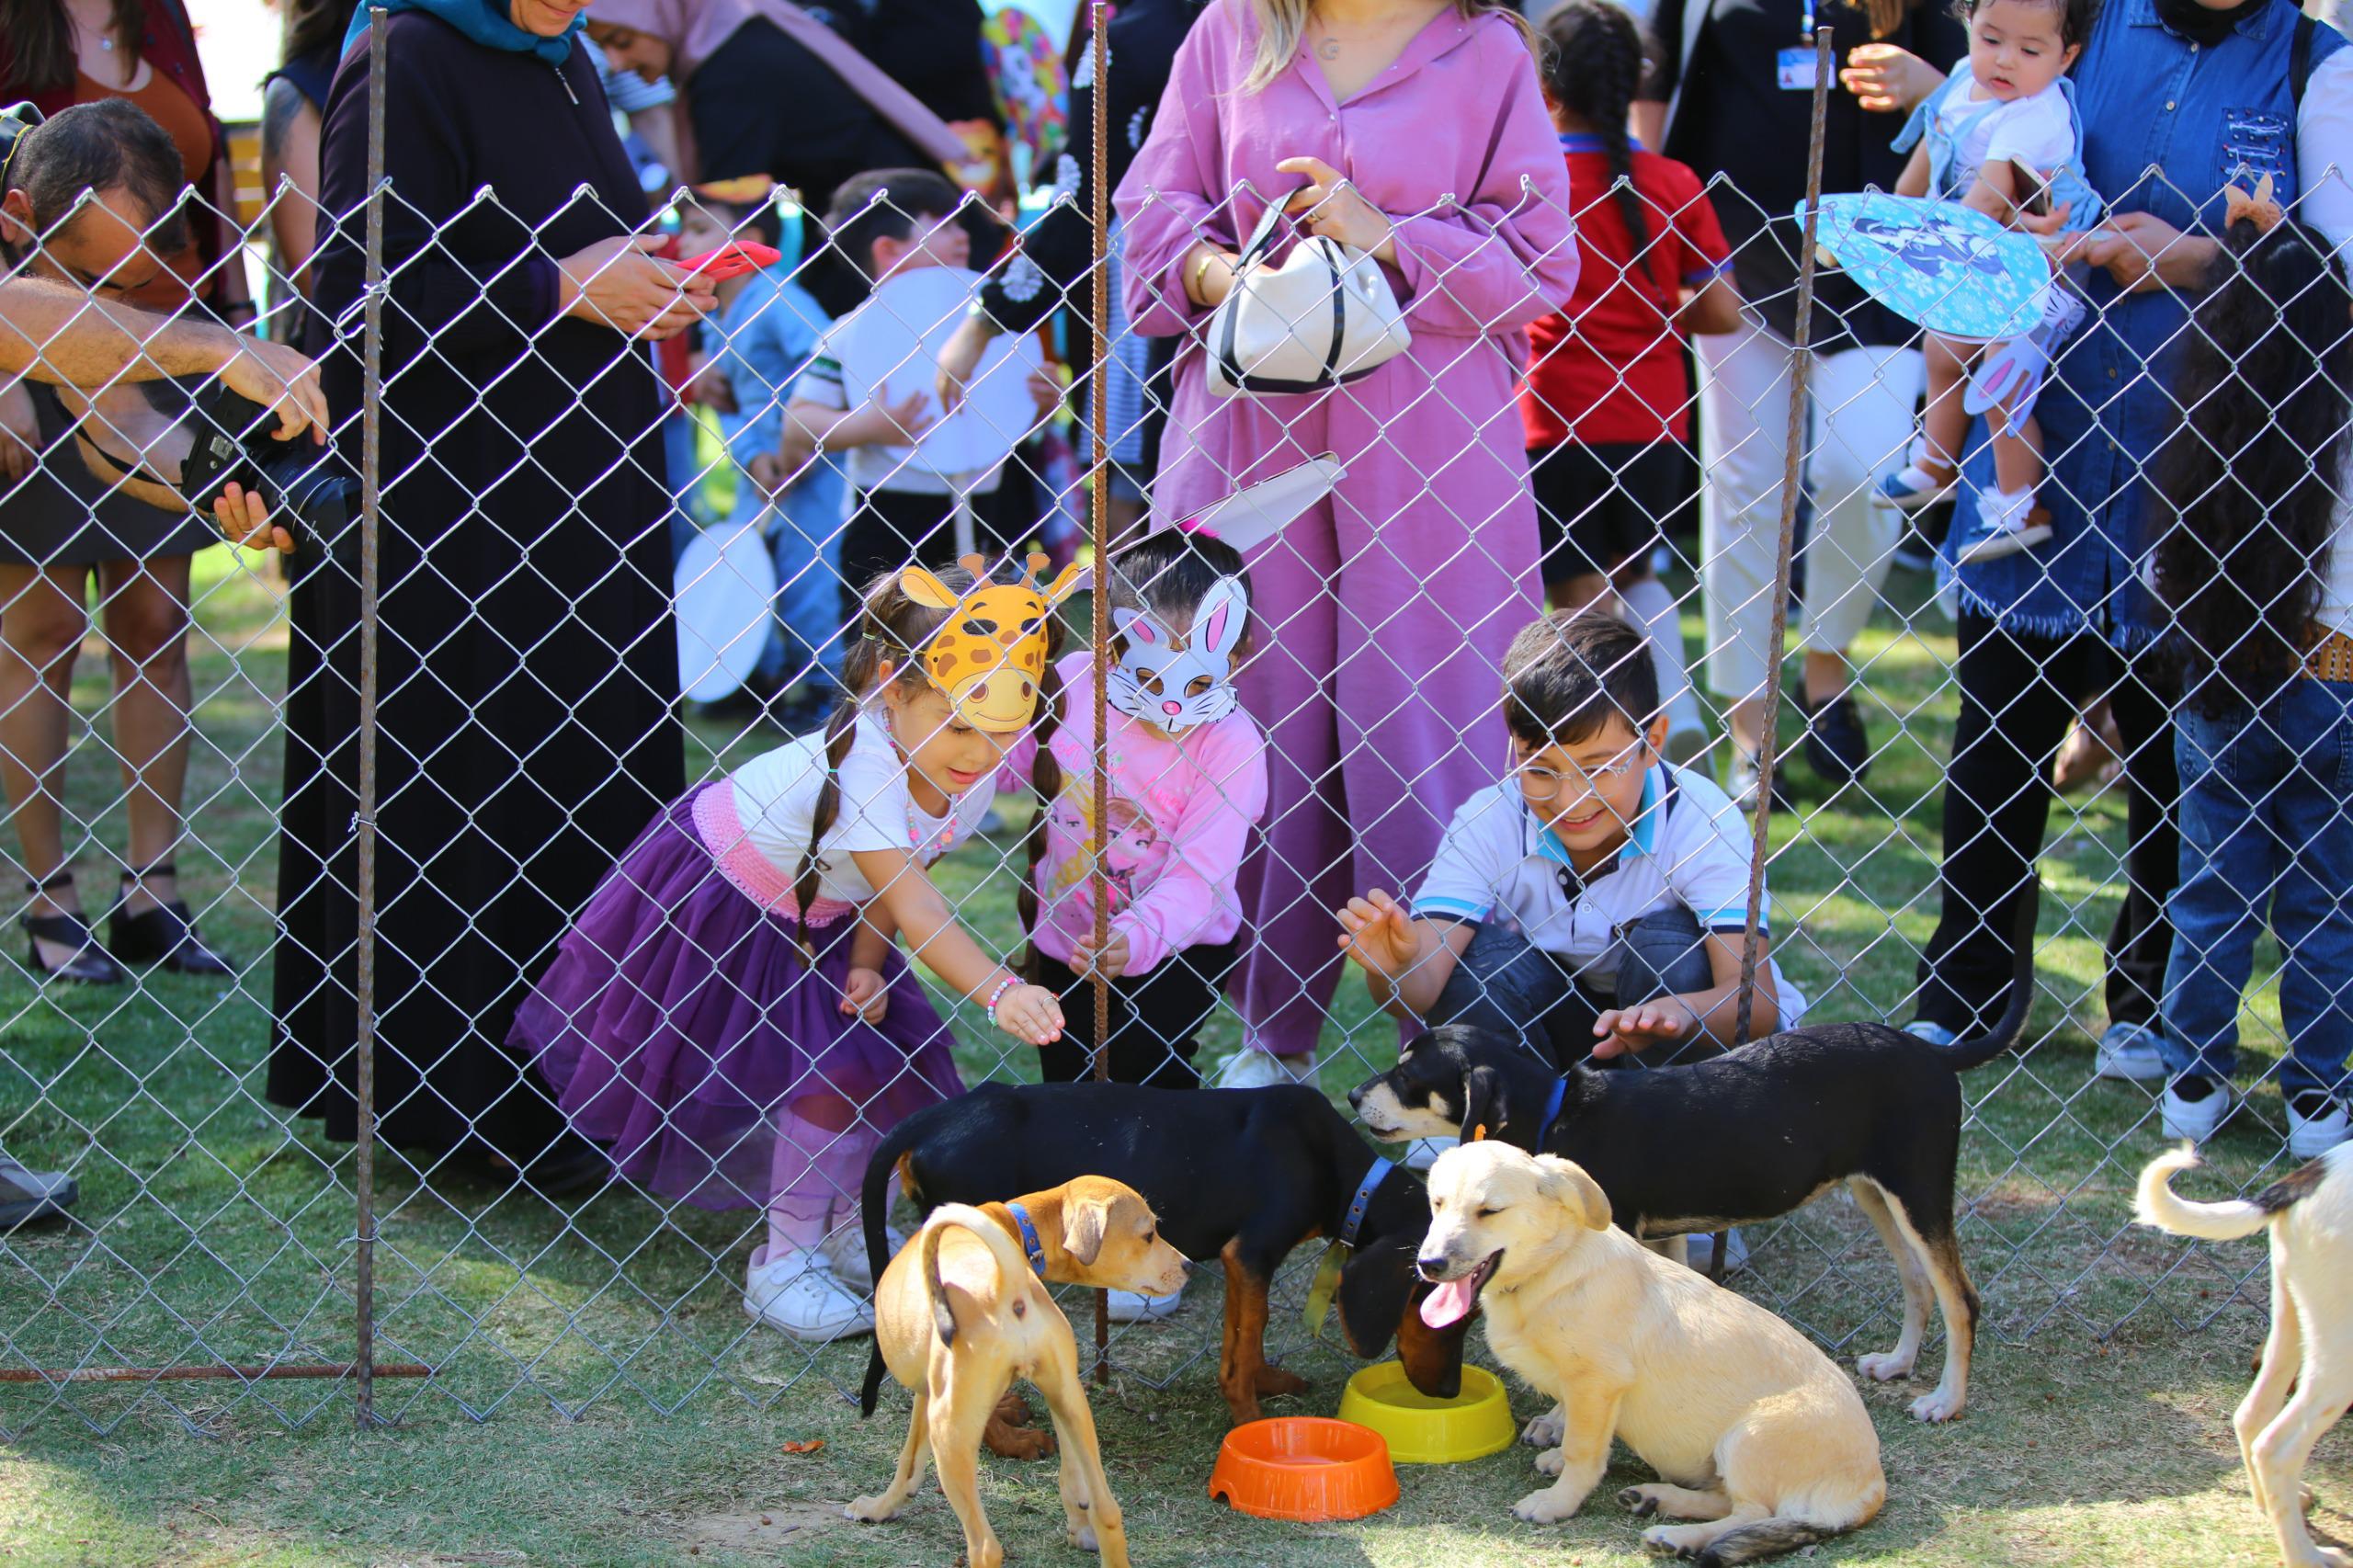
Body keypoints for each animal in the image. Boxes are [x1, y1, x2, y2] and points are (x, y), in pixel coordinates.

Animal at [847, 1172, 1186, 1562]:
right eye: (1149, 1235)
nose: (1189, 1266)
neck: (1015, 1227)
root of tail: (1005, 1284)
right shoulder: (1061, 1397)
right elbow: (1072, 1480)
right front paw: (1079, 1529)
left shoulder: (926, 1399)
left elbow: (907, 1464)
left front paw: (877, 1508)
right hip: (1073, 1406)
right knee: (1108, 1511)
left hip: (950, 1432)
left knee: (985, 1547)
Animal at [856, 1074, 1459, 1440]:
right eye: (1433, 1308)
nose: (1450, 1391)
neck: (1336, 1167)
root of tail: (934, 1119)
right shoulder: (1252, 1250)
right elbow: (1250, 1334)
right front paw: (1249, 1419)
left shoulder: (1243, 1263)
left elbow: (1246, 1332)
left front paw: (1265, 1381)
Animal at [1346, 885, 2042, 1422]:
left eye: (1409, 1074)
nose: (1351, 1094)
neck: (1557, 1110)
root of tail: (1933, 1053)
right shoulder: (1664, 1234)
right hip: (1879, 1193)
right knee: (1918, 1284)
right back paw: (1898, 1364)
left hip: (1919, 1190)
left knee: (1960, 1298)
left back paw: (1946, 1401)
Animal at [1402, 1134, 1882, 1562]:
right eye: (1437, 1204)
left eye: (1490, 1211)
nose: (1429, 1265)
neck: (1552, 1269)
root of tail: (1871, 1487)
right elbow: (1574, 1430)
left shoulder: (1596, 1382)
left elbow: (1583, 1451)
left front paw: (1557, 1503)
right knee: (1725, 1502)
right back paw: (1655, 1499)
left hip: (1749, 1436)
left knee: (1750, 1513)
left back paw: (1677, 1536)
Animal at [2136, 1134, 2353, 1562]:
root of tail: (2311, 1177)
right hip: (2342, 1346)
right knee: (2277, 1448)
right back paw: (2308, 1558)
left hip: (2293, 1319)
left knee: (2252, 1414)